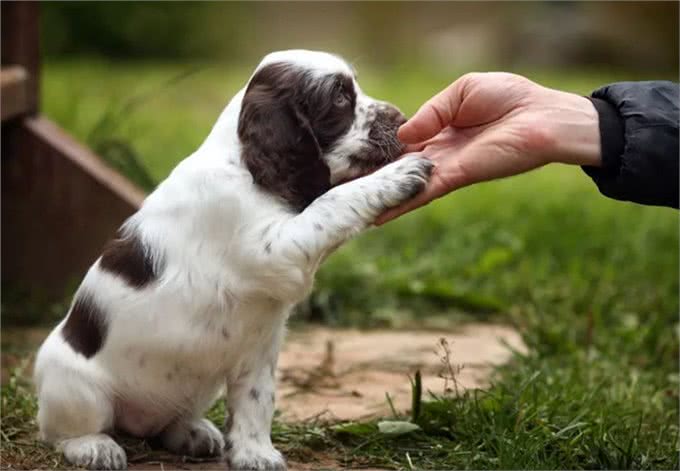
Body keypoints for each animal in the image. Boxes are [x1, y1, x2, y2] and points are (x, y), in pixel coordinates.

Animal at [33, 49, 430, 470]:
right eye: (339, 98)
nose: (402, 119)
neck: (244, 165)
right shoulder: (274, 249)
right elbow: (331, 202)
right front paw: (397, 176)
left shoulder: (259, 349)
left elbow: (256, 402)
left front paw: (255, 454)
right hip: (75, 386)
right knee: (63, 430)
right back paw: (94, 446)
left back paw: (192, 433)